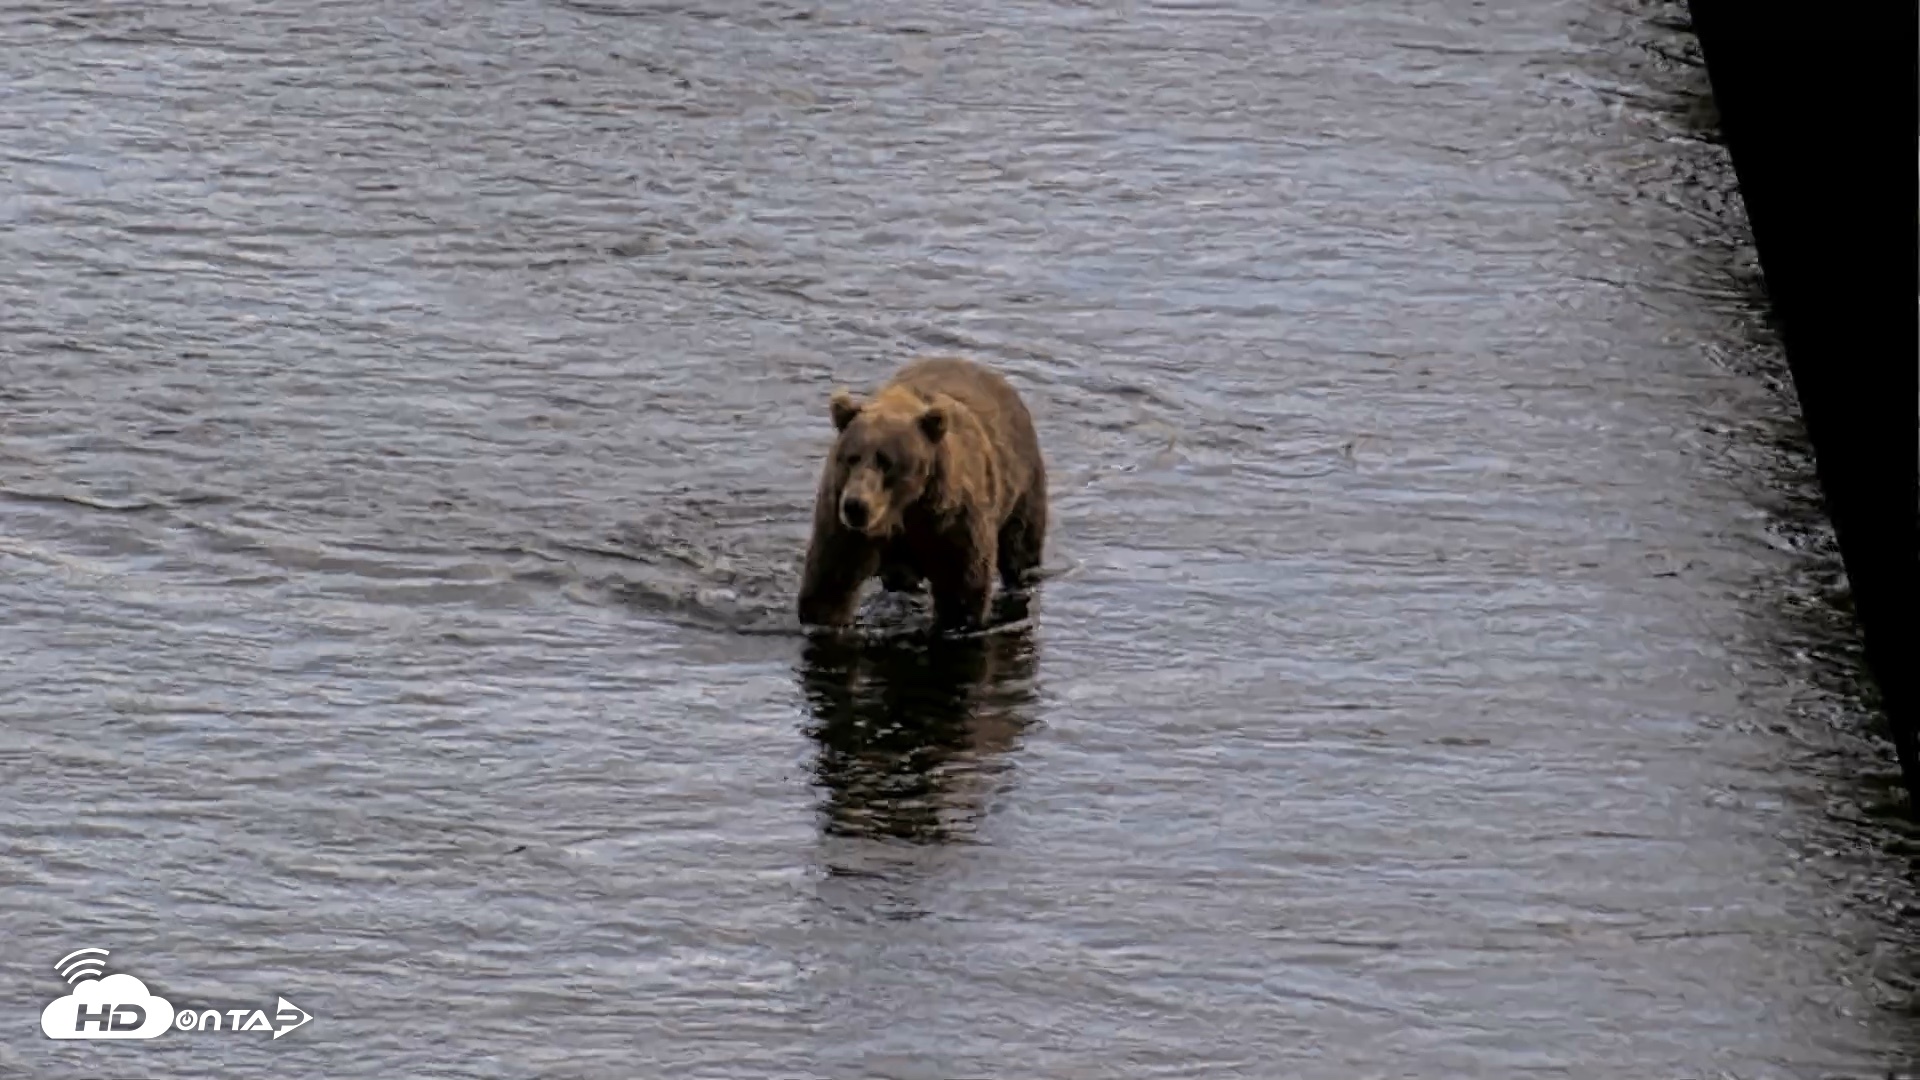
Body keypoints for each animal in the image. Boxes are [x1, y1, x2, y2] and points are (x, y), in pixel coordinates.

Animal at [797, 355, 1048, 632]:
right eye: (851, 457)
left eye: (886, 461)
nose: (855, 506)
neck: (900, 510)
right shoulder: (844, 524)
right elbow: (830, 583)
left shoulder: (950, 520)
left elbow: (961, 585)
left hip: (1023, 486)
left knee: (1021, 545)